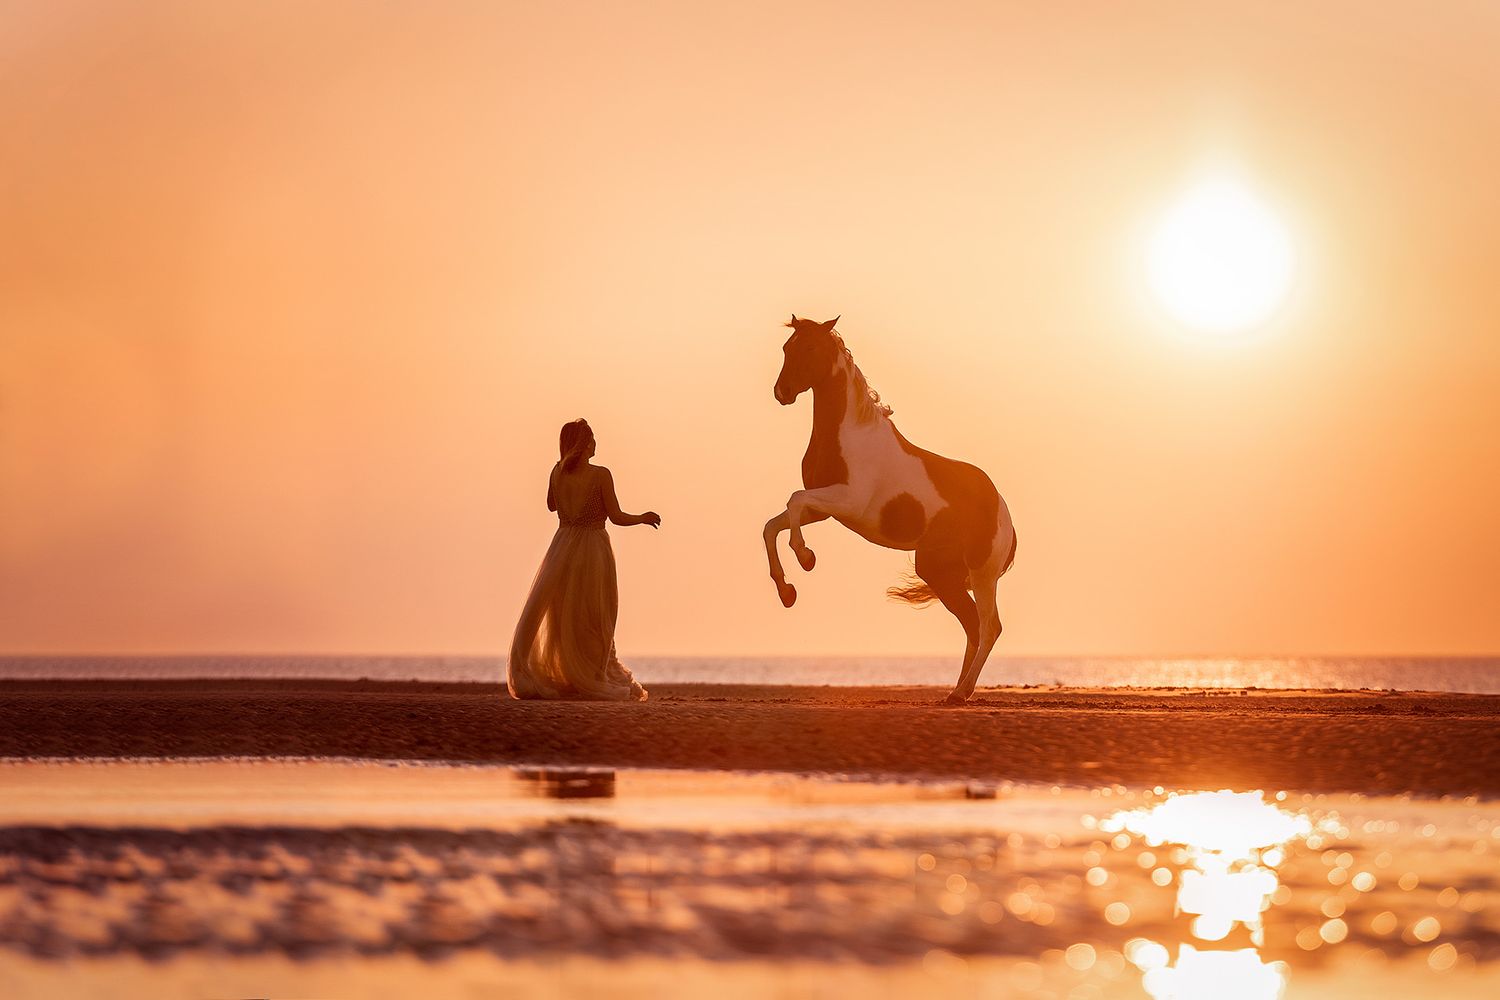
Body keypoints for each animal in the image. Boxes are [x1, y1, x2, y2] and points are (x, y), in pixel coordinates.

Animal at [763, 315, 1017, 704]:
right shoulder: (823, 509)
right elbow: (773, 525)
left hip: (982, 575)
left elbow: (793, 501)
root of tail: (1003, 510)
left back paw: (961, 693)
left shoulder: (846, 501)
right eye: (786, 348)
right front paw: (787, 592)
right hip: (939, 573)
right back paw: (956, 691)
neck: (847, 436)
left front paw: (806, 558)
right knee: (972, 626)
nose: (782, 392)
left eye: (810, 347)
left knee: (989, 627)